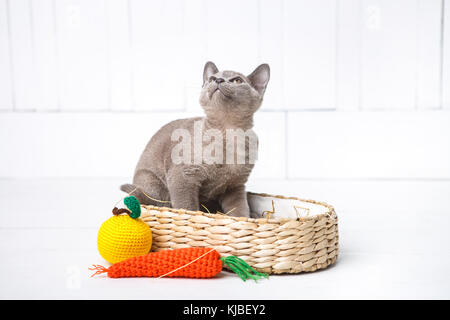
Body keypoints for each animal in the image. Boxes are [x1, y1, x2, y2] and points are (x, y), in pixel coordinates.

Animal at [120, 61, 270, 216]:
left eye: (237, 80)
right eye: (212, 79)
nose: (218, 80)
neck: (227, 131)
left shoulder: (235, 186)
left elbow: (240, 211)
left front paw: (243, 219)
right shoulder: (183, 177)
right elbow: (187, 207)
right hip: (154, 184)